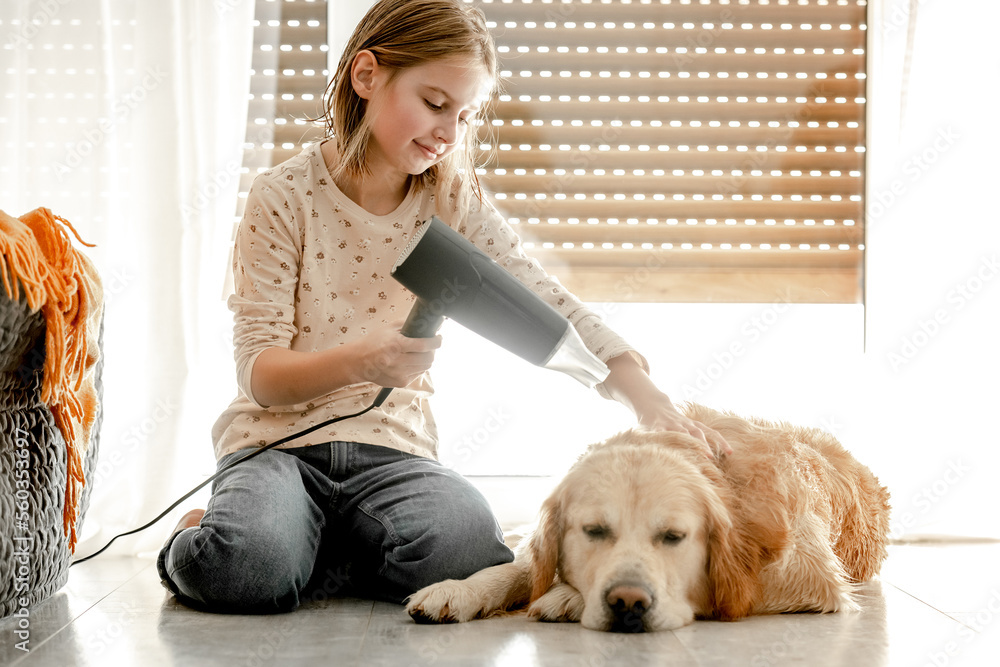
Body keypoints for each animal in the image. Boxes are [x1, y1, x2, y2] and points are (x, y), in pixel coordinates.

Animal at [406, 404, 892, 636]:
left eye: (674, 536)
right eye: (594, 531)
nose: (627, 603)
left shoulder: (808, 573)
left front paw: (564, 596)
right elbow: (517, 567)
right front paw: (457, 590)